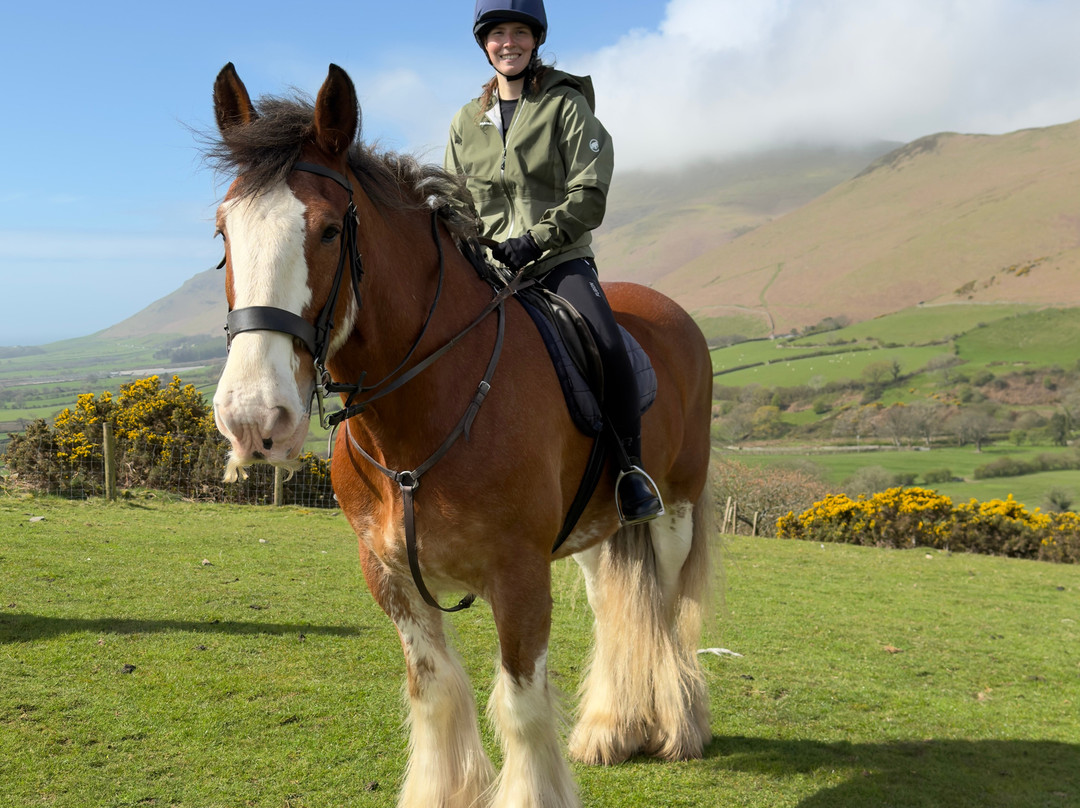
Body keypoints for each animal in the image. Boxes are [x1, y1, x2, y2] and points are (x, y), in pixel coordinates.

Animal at [208, 62, 715, 808]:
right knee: (617, 608)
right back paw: (611, 729)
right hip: (599, 530)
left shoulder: (519, 574)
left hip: (674, 511)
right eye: (223, 233)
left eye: (328, 231)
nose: (252, 418)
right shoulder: (387, 572)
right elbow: (436, 691)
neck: (423, 413)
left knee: (671, 609)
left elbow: (522, 706)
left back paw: (680, 726)